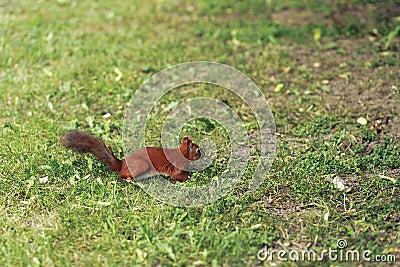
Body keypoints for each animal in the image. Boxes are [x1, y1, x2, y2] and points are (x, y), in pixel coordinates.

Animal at [60, 131, 203, 183]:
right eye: (198, 150)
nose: (203, 153)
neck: (182, 153)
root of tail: (122, 164)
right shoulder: (176, 167)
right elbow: (177, 177)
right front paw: (190, 176)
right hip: (141, 165)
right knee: (122, 175)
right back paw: (130, 180)